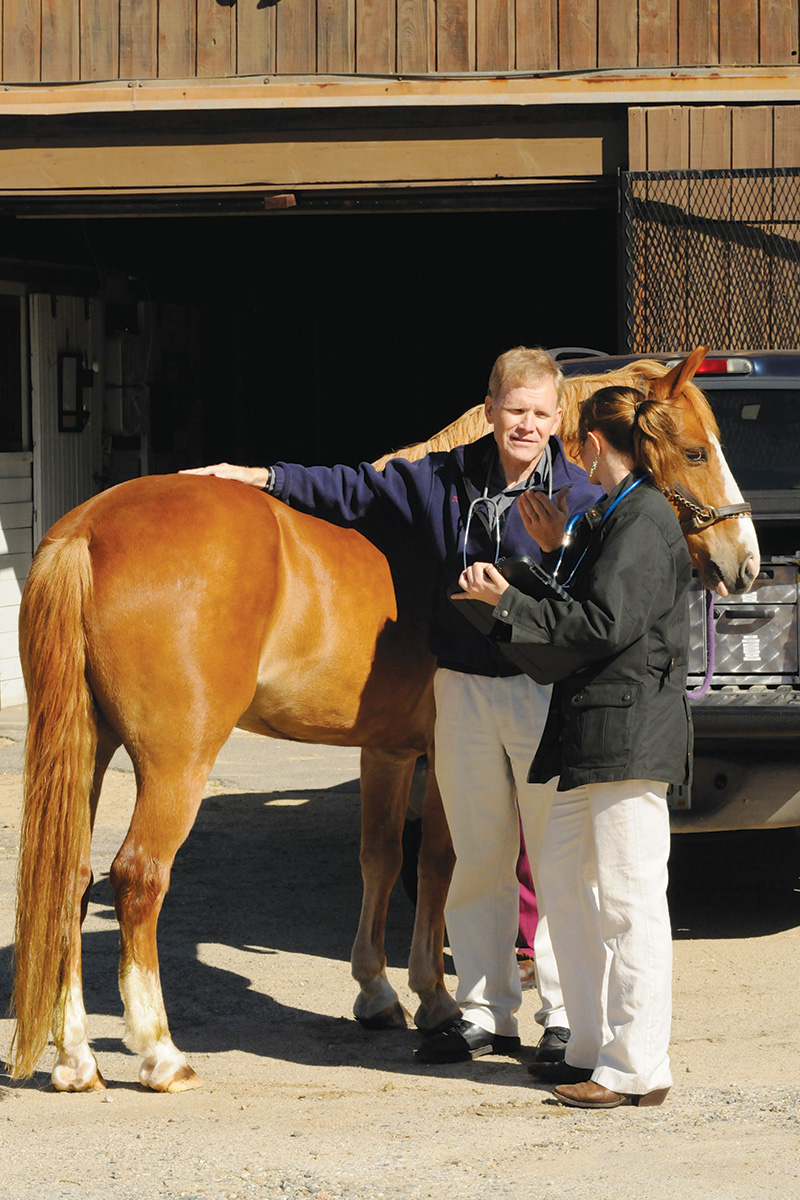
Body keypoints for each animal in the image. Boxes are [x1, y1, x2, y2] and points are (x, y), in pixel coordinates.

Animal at [10, 345, 758, 1089]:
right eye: (695, 450)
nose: (745, 563)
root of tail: (88, 529)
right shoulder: (442, 755)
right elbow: (439, 861)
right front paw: (438, 1001)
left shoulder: (391, 751)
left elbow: (380, 857)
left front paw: (376, 993)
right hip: (176, 760)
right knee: (138, 876)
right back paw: (159, 1052)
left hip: (89, 750)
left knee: (71, 879)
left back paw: (75, 1058)